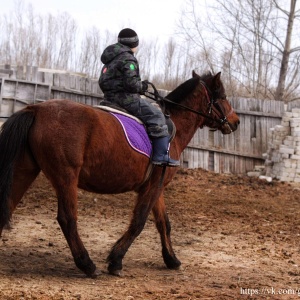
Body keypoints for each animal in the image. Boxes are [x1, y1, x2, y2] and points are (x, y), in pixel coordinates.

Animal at [0, 70, 239, 276]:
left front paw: (172, 259)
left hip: (25, 170)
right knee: (67, 219)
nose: (235, 122)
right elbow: (139, 222)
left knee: (7, 205)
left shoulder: (156, 187)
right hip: (65, 178)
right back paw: (87, 265)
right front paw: (115, 261)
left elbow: (164, 223)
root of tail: (36, 109)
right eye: (222, 96)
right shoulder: (153, 187)